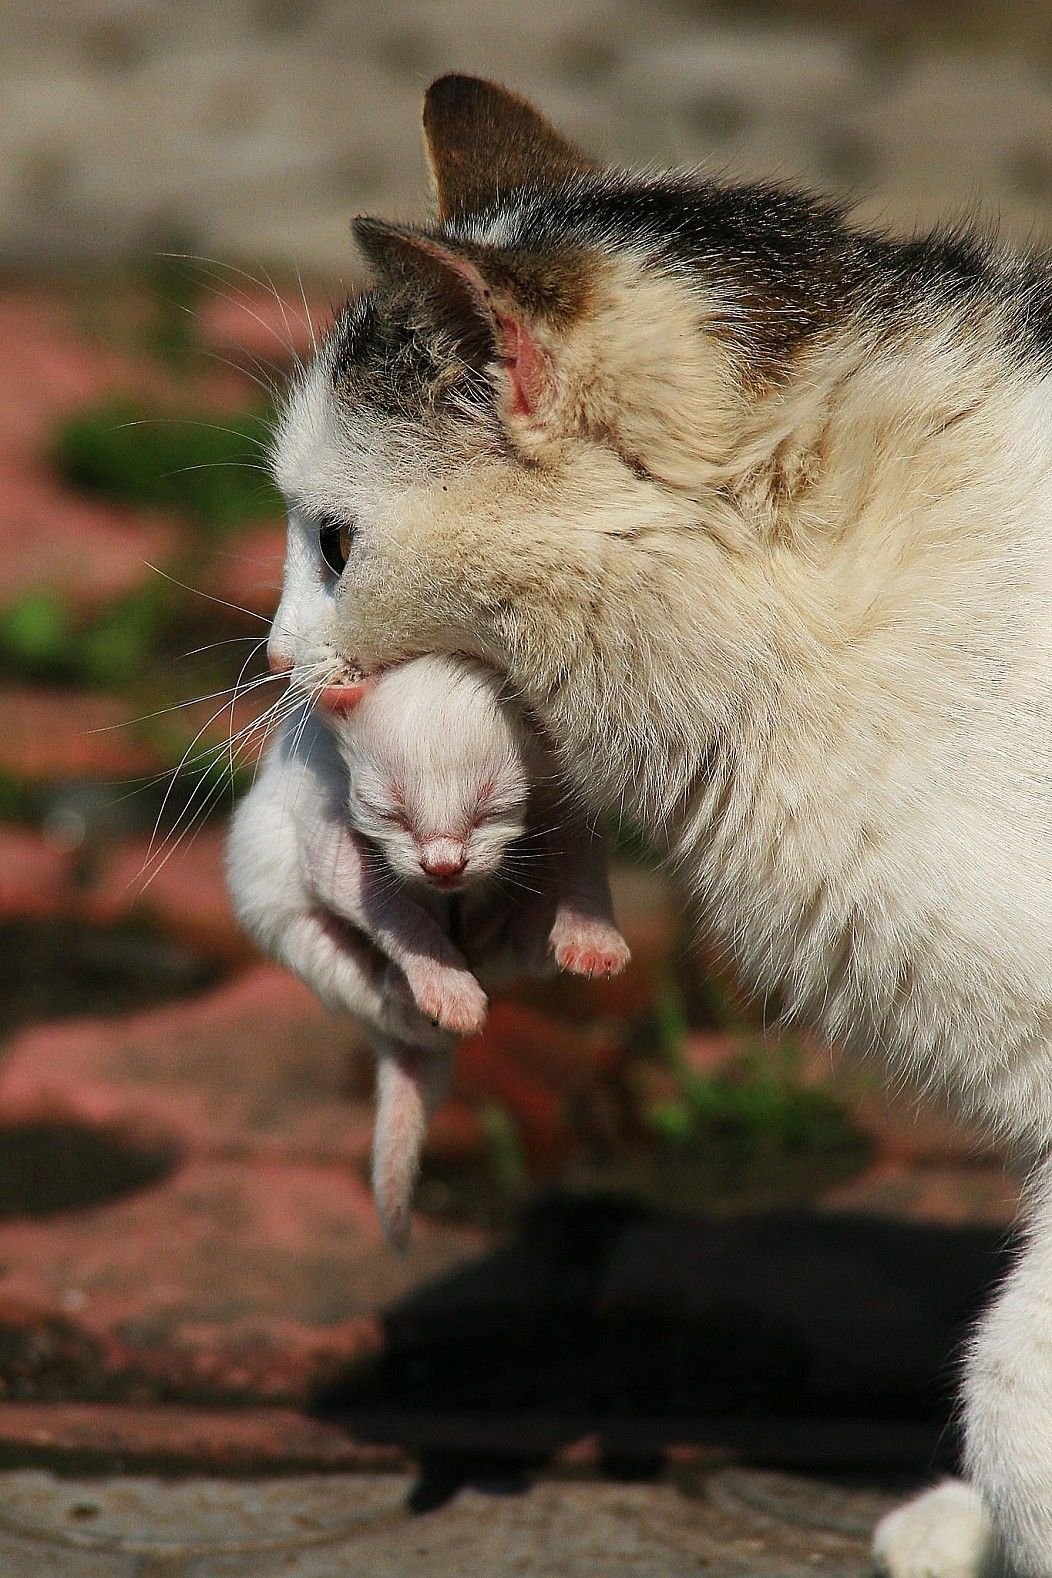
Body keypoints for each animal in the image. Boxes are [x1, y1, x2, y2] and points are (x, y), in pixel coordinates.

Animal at [227, 646, 630, 1237]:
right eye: (387, 812)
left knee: (524, 951)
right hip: (280, 913)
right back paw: (408, 996)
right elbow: (392, 911)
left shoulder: (565, 794)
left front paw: (592, 938)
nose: (443, 866)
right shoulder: (328, 835)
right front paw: (449, 990)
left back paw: (507, 926)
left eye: (495, 810)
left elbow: (582, 859)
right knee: (355, 973)